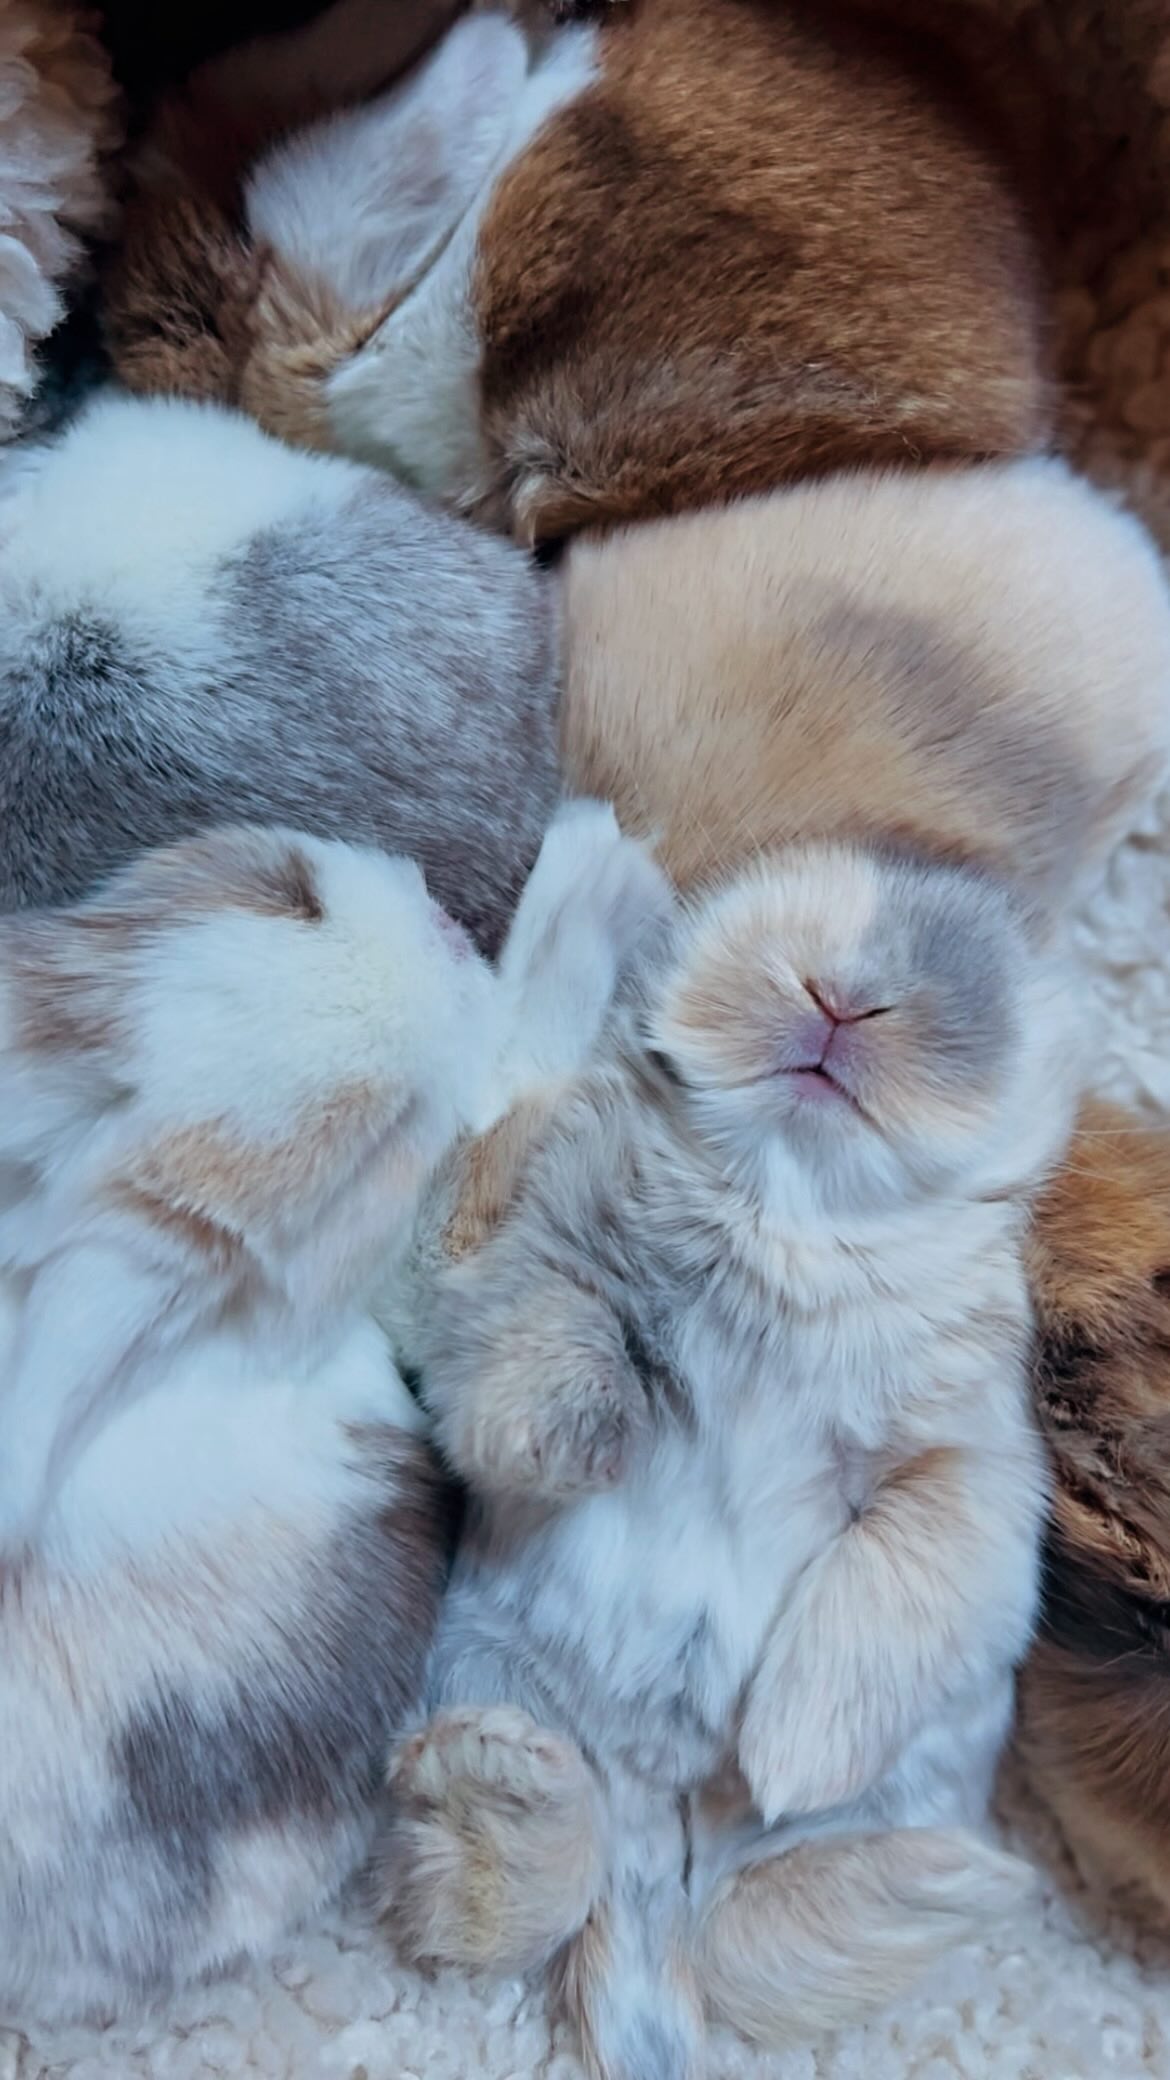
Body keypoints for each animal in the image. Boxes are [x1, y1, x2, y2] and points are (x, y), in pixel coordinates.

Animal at [375, 832, 1080, 2077]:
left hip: (895, 1789)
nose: (838, 995)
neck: (788, 1207)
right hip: (482, 1670)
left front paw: (792, 1745)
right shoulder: (541, 1272)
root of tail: (655, 1834)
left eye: (969, 958)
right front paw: (584, 1437)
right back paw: (503, 1784)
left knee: (753, 1937)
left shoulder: (964, 1465)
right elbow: (550, 1332)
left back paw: (963, 1877)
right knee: (539, 1899)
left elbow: (902, 1573)